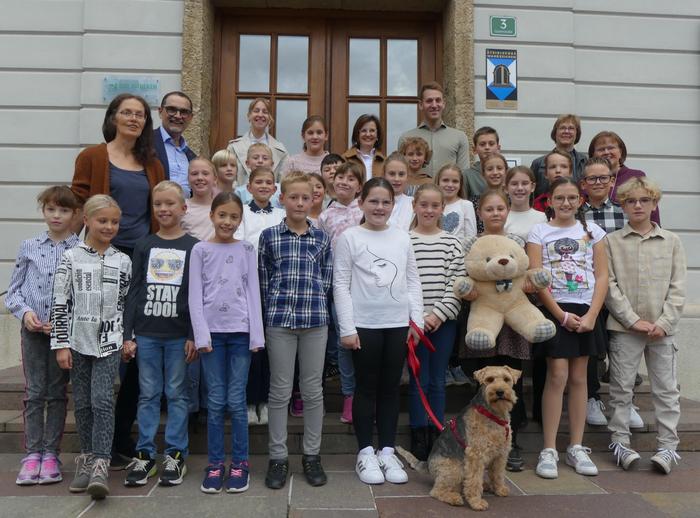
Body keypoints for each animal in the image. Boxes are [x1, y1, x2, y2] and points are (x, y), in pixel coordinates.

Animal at [400, 368, 520, 512]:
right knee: (437, 491)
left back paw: (485, 485)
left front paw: (500, 489)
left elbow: (498, 474)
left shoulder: (501, 454)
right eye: (489, 379)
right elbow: (474, 482)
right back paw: (455, 498)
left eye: (507, 379)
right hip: (455, 469)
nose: (500, 392)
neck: (494, 415)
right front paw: (476, 502)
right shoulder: (475, 455)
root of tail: (427, 464)